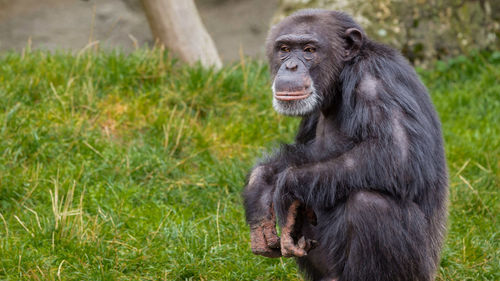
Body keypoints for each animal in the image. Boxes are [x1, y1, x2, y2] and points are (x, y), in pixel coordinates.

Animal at [240, 8, 448, 280]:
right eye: (284, 48)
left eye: (309, 50)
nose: (291, 66)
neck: (340, 81)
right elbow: (304, 152)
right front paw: (261, 185)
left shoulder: (377, 81)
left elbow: (398, 155)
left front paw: (285, 187)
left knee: (370, 204)